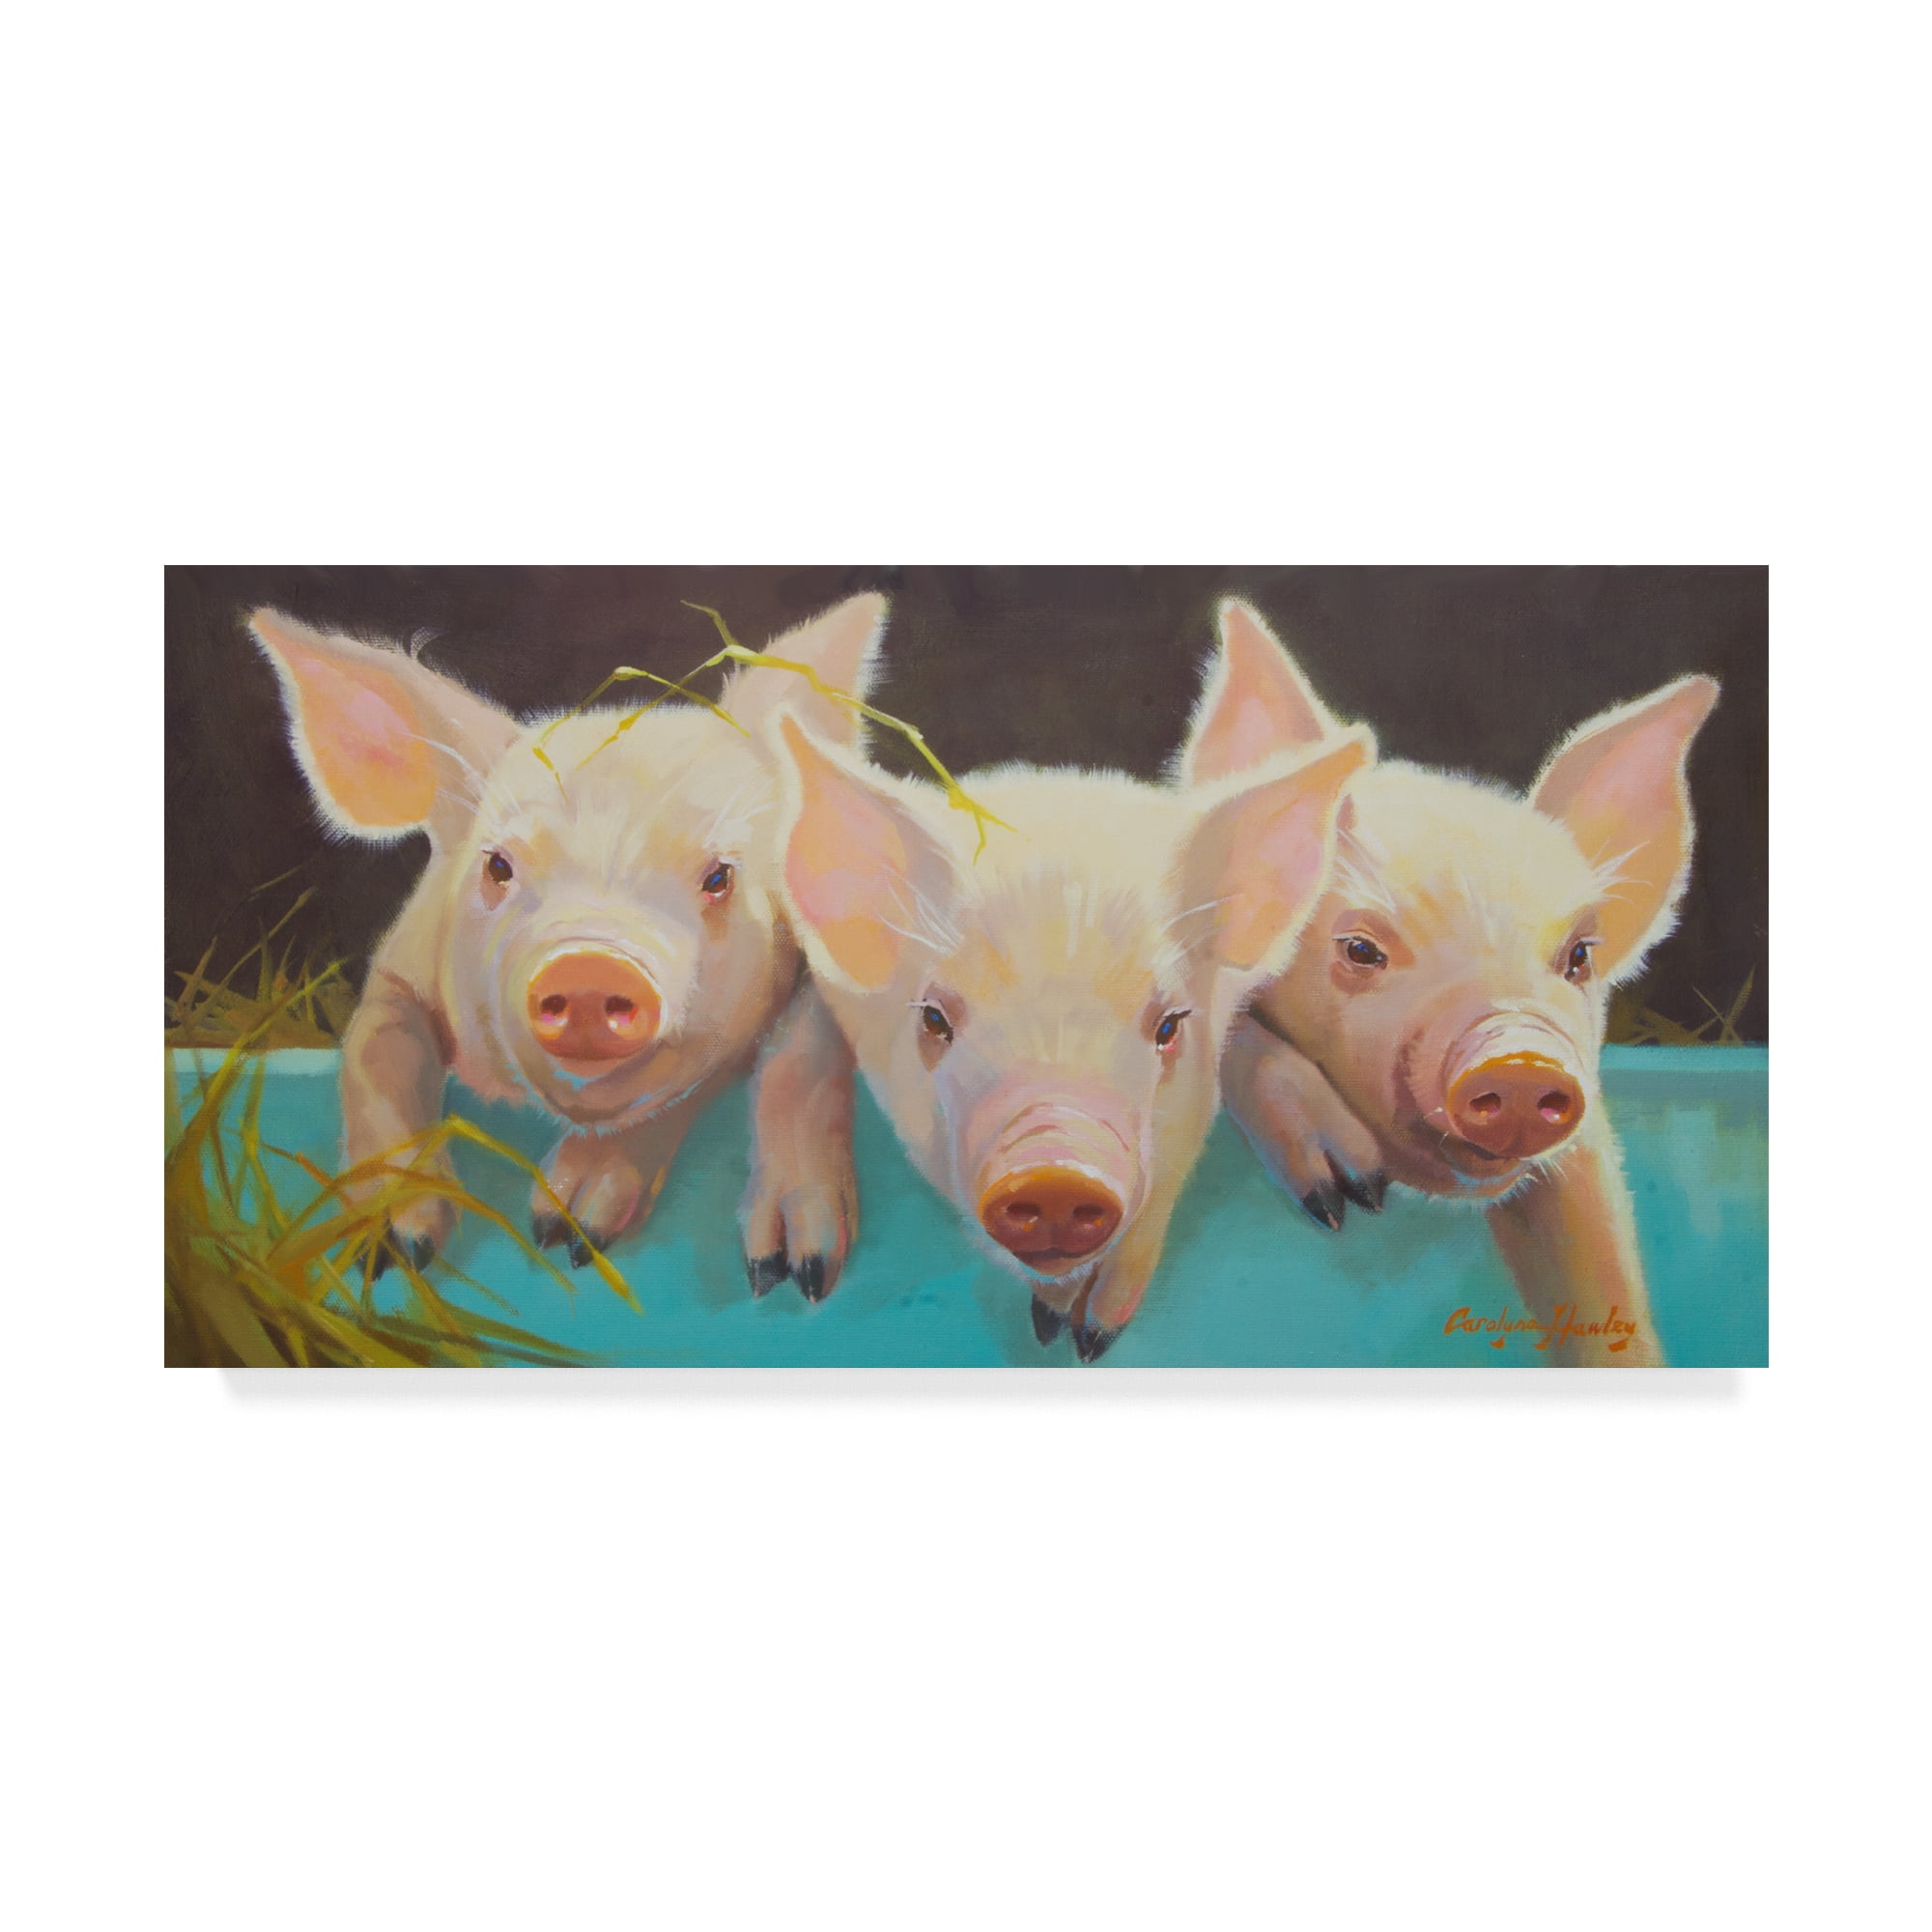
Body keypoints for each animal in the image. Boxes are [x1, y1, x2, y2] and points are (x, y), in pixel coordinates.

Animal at [248, 595, 883, 1296]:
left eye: (719, 877)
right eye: (498, 865)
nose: (588, 968)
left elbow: (789, 1056)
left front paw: (787, 1273)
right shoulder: (398, 972)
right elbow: (376, 1057)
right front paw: (391, 1250)